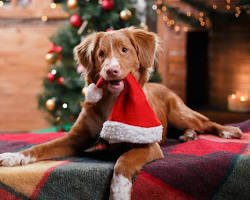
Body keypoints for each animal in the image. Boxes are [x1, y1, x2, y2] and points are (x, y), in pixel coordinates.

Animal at [0, 27, 242, 200]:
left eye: (124, 50)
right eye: (101, 54)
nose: (111, 70)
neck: (112, 101)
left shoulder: (148, 145)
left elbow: (122, 163)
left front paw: (119, 193)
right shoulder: (74, 139)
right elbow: (40, 147)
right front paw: (14, 157)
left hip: (180, 113)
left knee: (207, 122)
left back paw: (227, 131)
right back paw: (188, 135)